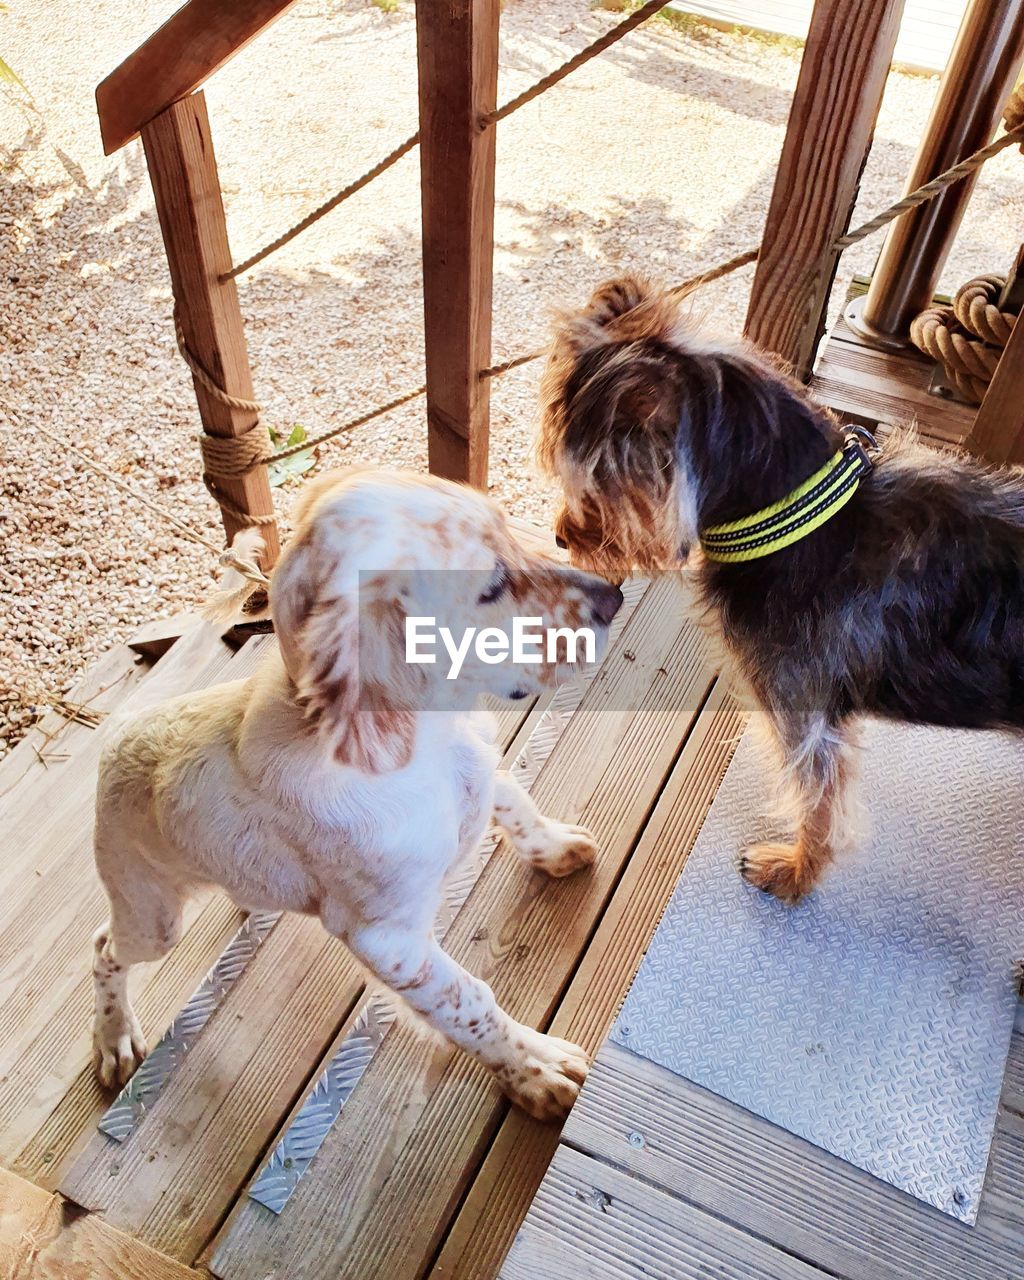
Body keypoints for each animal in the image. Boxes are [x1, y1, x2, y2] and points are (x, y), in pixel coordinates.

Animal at [92, 471, 619, 1121]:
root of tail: (114, 735)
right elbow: (471, 1002)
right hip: (151, 915)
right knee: (103, 948)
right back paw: (114, 1038)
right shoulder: (390, 942)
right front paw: (535, 1071)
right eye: (492, 585)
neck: (430, 745)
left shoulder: (481, 766)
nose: (614, 597)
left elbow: (516, 806)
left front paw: (558, 848)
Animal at [535, 275, 1024, 906]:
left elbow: (819, 806)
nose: (562, 536)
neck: (801, 516)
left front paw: (793, 873)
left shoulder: (803, 713)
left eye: (594, 490)